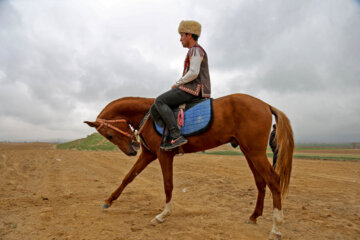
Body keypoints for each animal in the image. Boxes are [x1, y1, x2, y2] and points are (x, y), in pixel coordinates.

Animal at [86, 93, 294, 239]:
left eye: (110, 135)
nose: (131, 150)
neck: (149, 116)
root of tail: (265, 104)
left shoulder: (163, 155)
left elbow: (167, 184)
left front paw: (163, 214)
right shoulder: (148, 154)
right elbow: (129, 176)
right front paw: (109, 200)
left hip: (255, 152)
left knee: (273, 180)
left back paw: (276, 227)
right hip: (249, 152)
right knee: (261, 182)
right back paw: (254, 216)